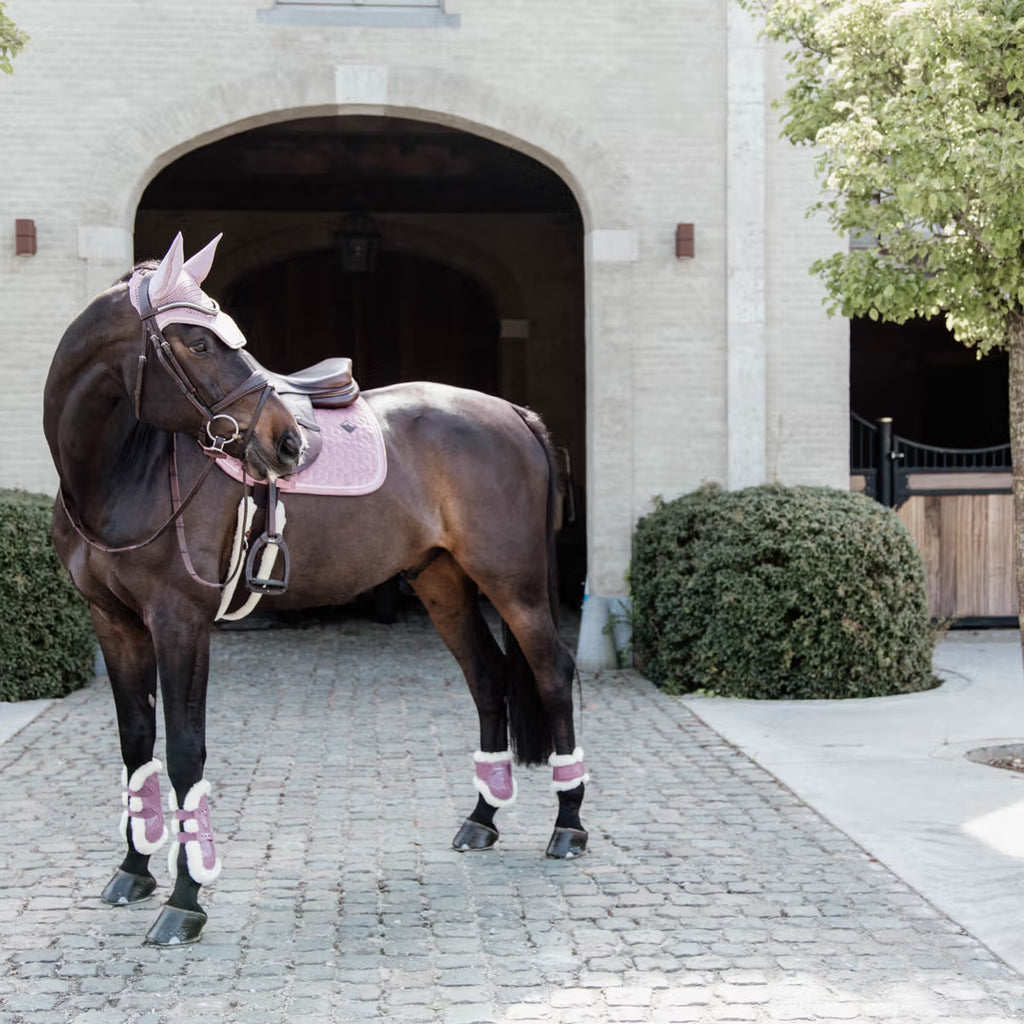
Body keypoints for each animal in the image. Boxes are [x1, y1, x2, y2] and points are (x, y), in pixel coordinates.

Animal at [43, 233, 588, 946]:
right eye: (198, 343)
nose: (287, 441)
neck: (122, 472)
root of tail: (514, 413)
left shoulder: (179, 621)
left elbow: (186, 752)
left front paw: (186, 901)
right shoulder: (113, 622)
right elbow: (137, 743)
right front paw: (133, 872)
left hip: (513, 584)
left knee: (551, 672)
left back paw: (569, 827)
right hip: (442, 583)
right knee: (489, 676)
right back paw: (481, 820)